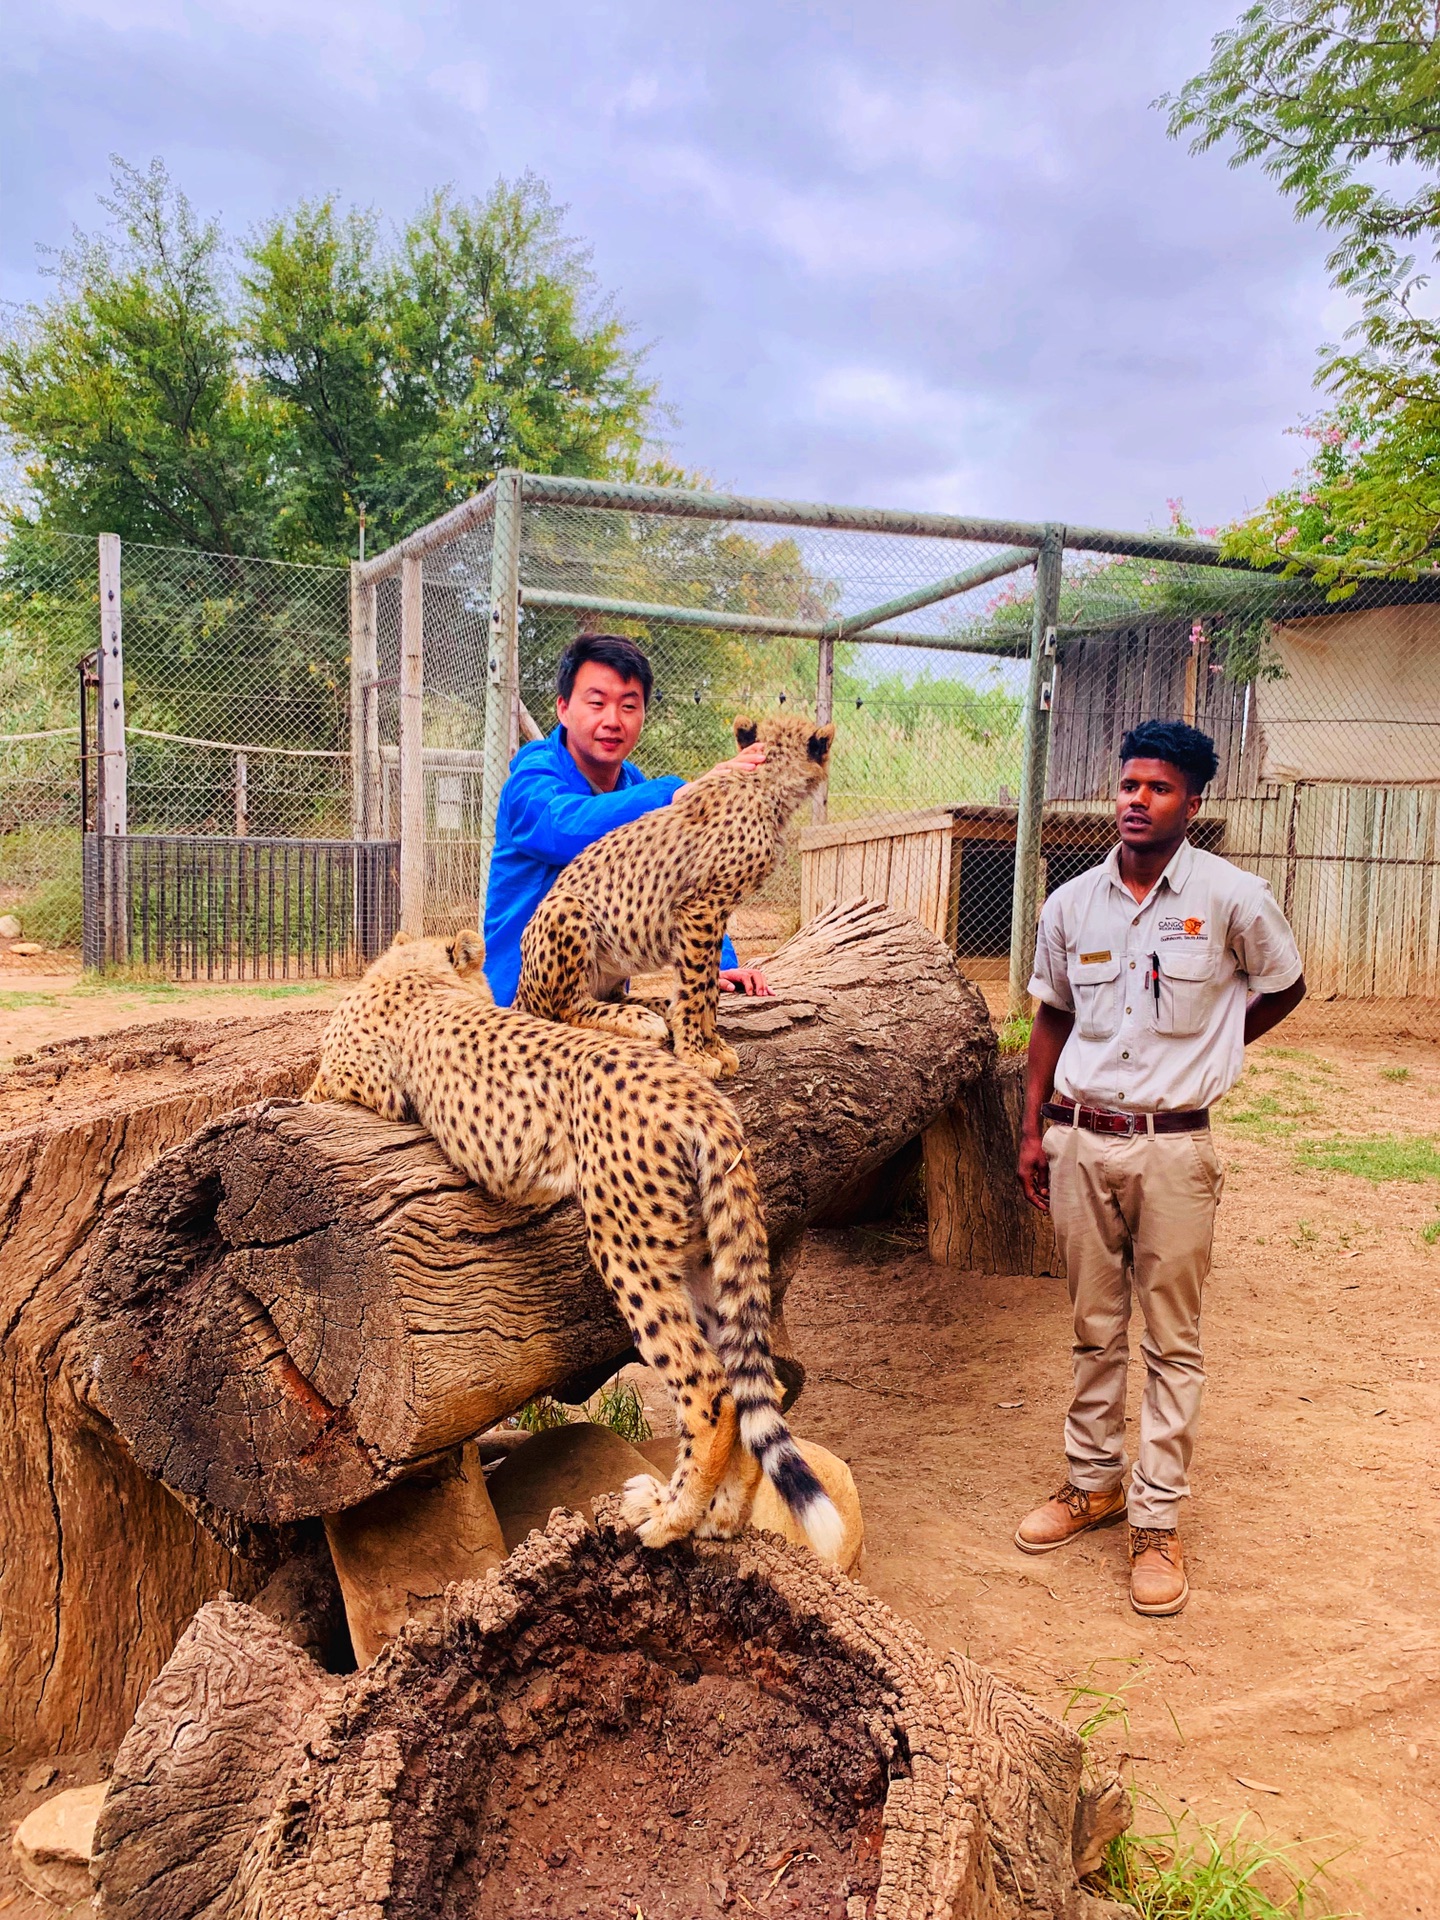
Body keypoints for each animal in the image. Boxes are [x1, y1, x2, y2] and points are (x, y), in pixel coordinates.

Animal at [305, 921, 844, 1566]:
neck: (417, 975)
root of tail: (698, 1095)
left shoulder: (358, 1085)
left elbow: (313, 1088)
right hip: (700, 1258)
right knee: (747, 1388)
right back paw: (718, 1520)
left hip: (626, 1247)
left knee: (707, 1389)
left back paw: (669, 1518)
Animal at [514, 721, 833, 1082]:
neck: (765, 784)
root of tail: (520, 993)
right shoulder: (701, 908)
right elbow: (695, 988)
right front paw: (694, 1053)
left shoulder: (716, 914)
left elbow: (708, 985)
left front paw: (714, 1045)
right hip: (565, 907)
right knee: (566, 1006)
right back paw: (638, 1020)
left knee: (614, 995)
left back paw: (651, 1006)